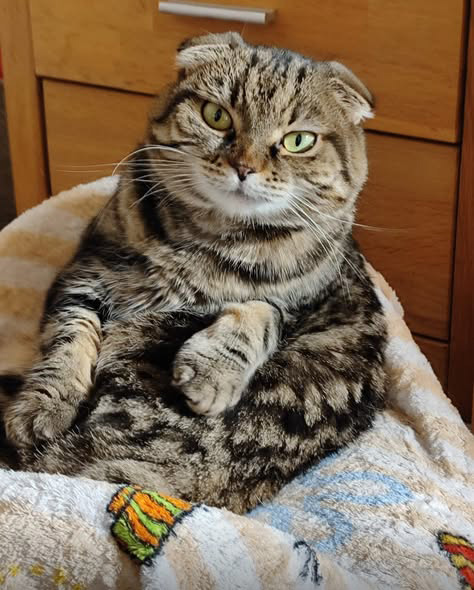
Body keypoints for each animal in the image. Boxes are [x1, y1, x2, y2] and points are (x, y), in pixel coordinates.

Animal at [1, 32, 387, 514]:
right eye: (216, 116)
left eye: (298, 140)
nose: (244, 168)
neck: (212, 236)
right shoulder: (86, 271)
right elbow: (67, 338)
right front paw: (43, 405)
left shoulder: (300, 298)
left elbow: (264, 312)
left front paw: (211, 373)